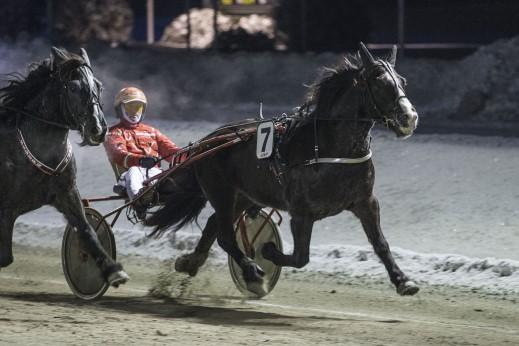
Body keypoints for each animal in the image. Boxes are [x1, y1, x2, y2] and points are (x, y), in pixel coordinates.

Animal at [0, 47, 129, 288]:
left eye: (98, 85)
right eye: (73, 87)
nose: (98, 128)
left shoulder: (66, 192)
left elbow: (86, 230)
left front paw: (113, 270)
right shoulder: (5, 208)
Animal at [145, 43, 418, 296]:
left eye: (402, 81)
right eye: (380, 83)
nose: (409, 118)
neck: (331, 149)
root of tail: (208, 141)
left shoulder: (365, 202)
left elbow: (380, 243)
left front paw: (403, 281)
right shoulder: (301, 213)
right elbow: (300, 258)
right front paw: (267, 250)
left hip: (245, 195)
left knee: (214, 225)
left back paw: (190, 263)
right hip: (221, 192)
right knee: (225, 235)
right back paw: (251, 270)